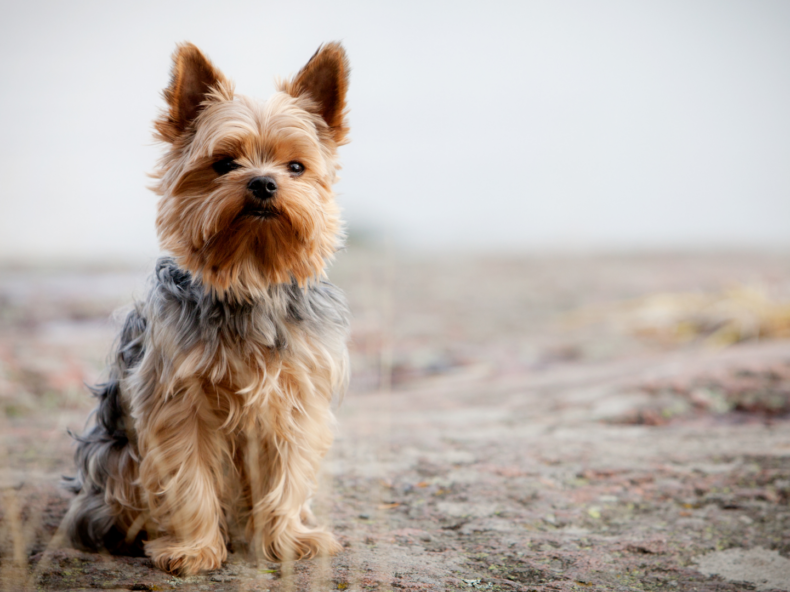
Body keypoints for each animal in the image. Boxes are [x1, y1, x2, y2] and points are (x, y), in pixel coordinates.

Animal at [63, 40, 354, 572]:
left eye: (296, 167)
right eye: (224, 163)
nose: (263, 183)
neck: (250, 276)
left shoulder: (294, 399)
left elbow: (288, 472)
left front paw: (287, 539)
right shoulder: (178, 404)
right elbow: (189, 477)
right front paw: (194, 549)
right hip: (114, 457)